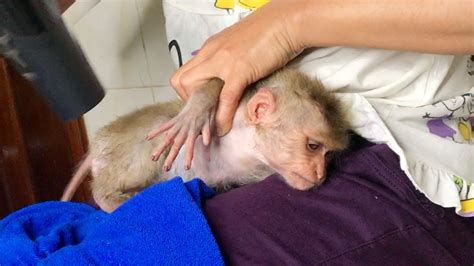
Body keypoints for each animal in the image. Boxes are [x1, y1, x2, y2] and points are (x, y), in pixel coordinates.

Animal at [62, 68, 348, 212]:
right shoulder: (230, 112)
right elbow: (222, 84)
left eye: (327, 155)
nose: (321, 174)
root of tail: (97, 146)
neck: (249, 145)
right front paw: (198, 108)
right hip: (122, 148)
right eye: (313, 146)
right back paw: (109, 199)